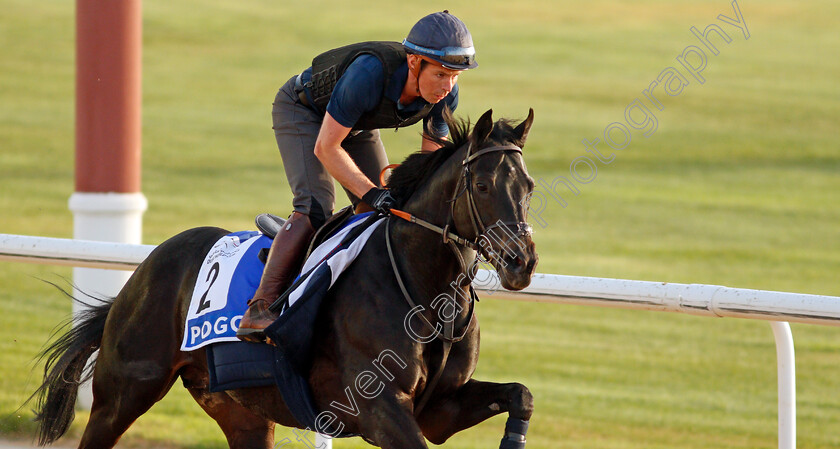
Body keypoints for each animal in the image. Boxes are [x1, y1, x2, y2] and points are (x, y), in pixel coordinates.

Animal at [31, 108, 540, 448]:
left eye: (529, 187)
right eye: (481, 185)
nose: (522, 262)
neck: (423, 290)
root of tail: (143, 271)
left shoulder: (438, 409)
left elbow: (522, 394)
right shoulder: (379, 409)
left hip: (243, 412)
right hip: (124, 392)